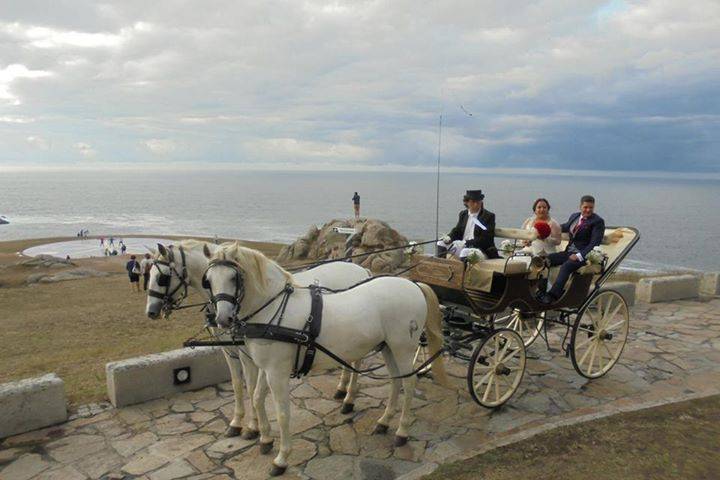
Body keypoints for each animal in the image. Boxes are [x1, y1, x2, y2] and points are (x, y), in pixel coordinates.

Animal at [144, 240, 374, 438]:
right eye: (207, 281)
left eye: (163, 277)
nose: (151, 312)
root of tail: (361, 270)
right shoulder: (230, 352)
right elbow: (238, 385)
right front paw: (237, 423)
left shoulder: (249, 355)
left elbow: (253, 388)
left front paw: (254, 427)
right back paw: (341, 388)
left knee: (357, 361)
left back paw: (349, 398)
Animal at [204, 242, 450, 474]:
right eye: (208, 280)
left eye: (234, 277)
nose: (222, 319)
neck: (273, 311)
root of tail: (413, 285)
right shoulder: (267, 368)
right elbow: (256, 398)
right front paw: (264, 439)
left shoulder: (277, 372)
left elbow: (282, 413)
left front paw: (282, 458)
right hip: (387, 347)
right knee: (396, 382)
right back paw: (384, 421)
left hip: (403, 348)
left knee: (409, 384)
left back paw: (401, 431)